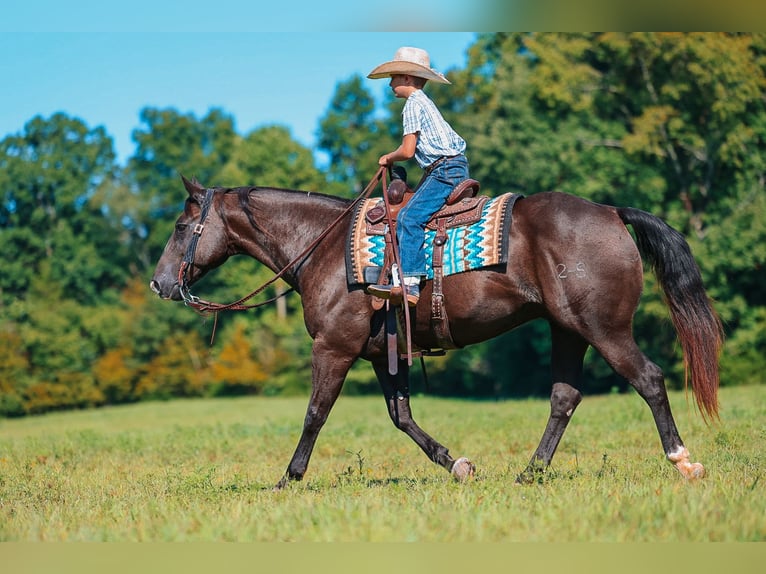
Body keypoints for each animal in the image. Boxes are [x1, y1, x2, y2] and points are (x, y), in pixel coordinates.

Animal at [150, 174, 723, 488]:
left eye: (179, 227)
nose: (159, 283)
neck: (324, 247)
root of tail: (610, 211)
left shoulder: (333, 347)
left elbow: (315, 413)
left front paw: (287, 478)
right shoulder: (381, 354)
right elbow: (401, 416)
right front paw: (457, 465)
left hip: (604, 329)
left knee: (649, 379)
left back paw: (684, 462)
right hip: (568, 331)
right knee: (564, 397)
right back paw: (530, 472)